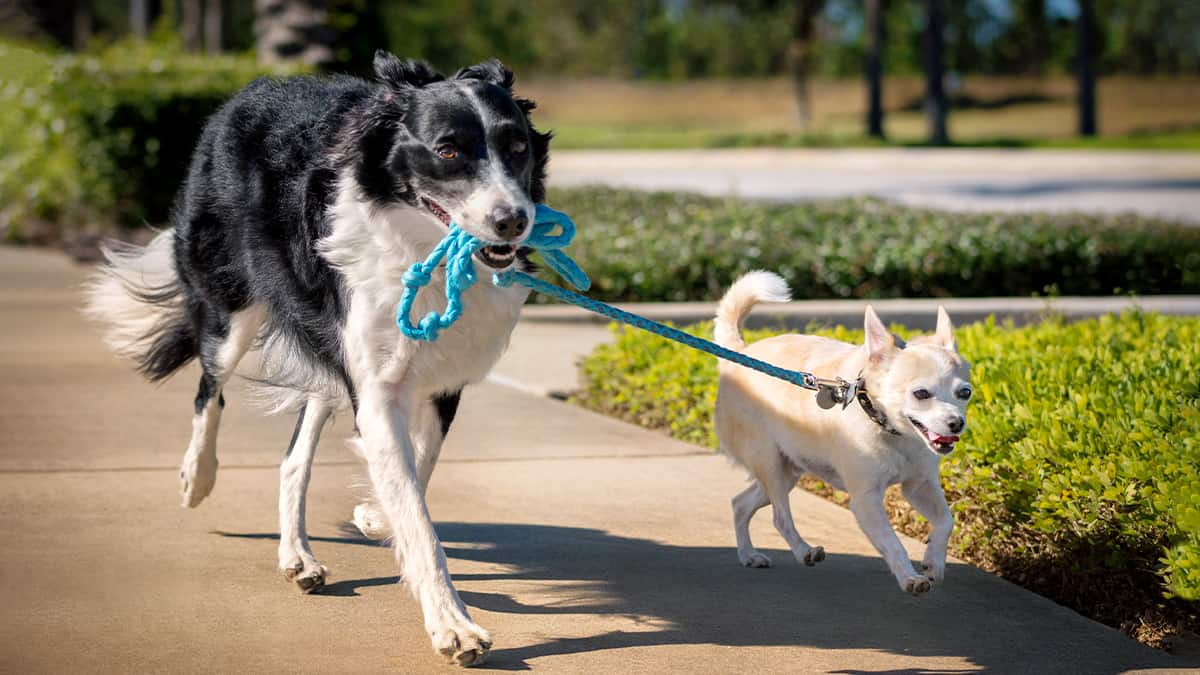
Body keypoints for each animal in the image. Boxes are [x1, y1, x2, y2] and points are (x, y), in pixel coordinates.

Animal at [87, 51, 549, 662]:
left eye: (517, 147)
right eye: (448, 150)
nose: (513, 220)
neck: (419, 242)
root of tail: (248, 91)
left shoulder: (442, 374)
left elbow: (418, 470)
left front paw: (376, 515)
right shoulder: (373, 384)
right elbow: (417, 517)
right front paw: (453, 625)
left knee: (292, 456)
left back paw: (296, 556)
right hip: (233, 305)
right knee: (210, 389)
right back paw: (198, 477)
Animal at [715, 270, 969, 590]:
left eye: (965, 393)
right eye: (921, 394)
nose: (956, 423)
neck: (892, 431)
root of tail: (740, 352)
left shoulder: (919, 486)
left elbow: (946, 521)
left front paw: (933, 560)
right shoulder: (865, 500)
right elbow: (893, 543)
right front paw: (910, 577)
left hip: (787, 470)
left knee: (740, 503)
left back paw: (748, 554)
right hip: (768, 462)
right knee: (779, 517)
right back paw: (803, 550)